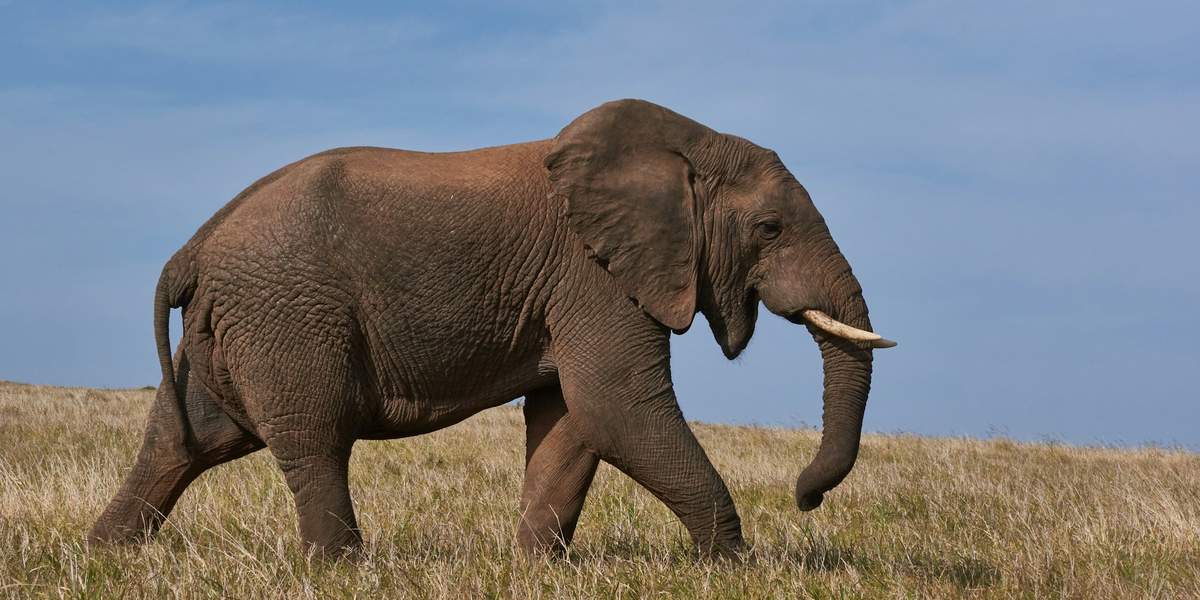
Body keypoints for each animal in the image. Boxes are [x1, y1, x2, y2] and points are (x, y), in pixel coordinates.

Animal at [89, 99, 895, 559]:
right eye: (770, 228)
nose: (806, 498)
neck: (683, 146)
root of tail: (193, 248)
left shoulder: (577, 287)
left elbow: (573, 420)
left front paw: (534, 569)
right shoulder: (593, 276)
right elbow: (618, 407)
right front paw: (729, 566)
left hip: (232, 328)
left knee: (185, 440)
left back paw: (108, 556)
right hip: (287, 314)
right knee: (313, 439)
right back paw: (341, 570)